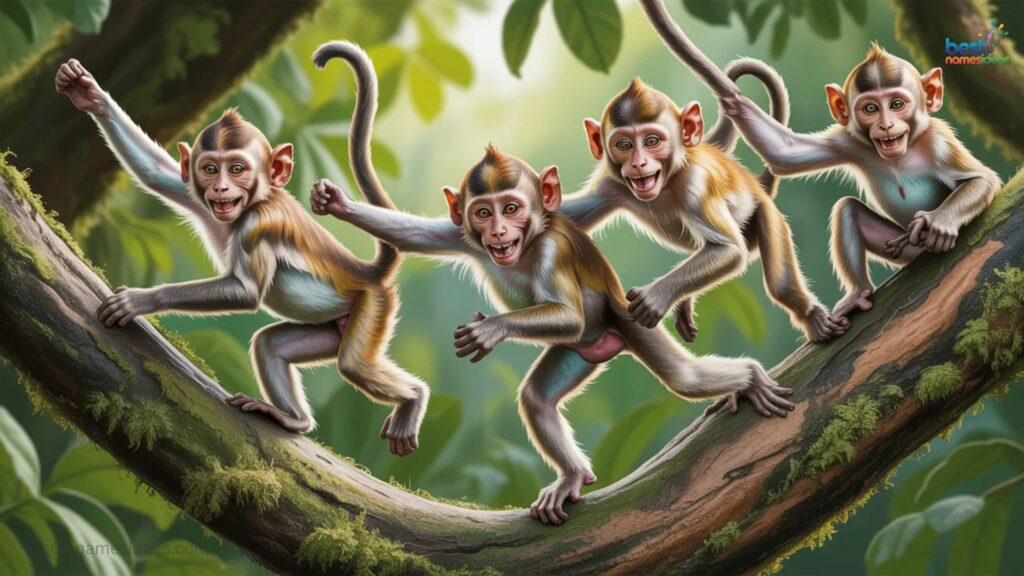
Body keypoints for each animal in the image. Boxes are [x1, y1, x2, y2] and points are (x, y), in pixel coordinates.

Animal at [55, 42, 431, 457]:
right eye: (209, 169)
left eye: (236, 169)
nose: (220, 189)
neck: (247, 208)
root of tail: (362, 271)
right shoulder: (197, 195)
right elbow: (155, 173)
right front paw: (90, 95)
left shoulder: (259, 227)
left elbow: (247, 291)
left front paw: (141, 300)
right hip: (337, 325)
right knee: (271, 345)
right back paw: (295, 420)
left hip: (373, 304)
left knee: (352, 364)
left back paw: (413, 397)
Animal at [310, 145, 794, 525]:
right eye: (483, 212)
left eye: (511, 208)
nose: (498, 231)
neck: (522, 250)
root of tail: (612, 338)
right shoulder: (463, 236)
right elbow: (415, 235)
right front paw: (337, 203)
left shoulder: (550, 251)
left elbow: (570, 315)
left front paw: (490, 329)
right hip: (577, 353)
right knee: (537, 398)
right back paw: (574, 475)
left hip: (626, 320)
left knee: (682, 378)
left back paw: (751, 377)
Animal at [636, 0, 1001, 321]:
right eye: (871, 108)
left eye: (897, 104)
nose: (886, 125)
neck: (901, 152)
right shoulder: (850, 141)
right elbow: (785, 154)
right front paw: (730, 95)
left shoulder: (938, 141)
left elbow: (983, 180)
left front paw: (939, 221)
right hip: (905, 250)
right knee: (848, 210)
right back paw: (859, 292)